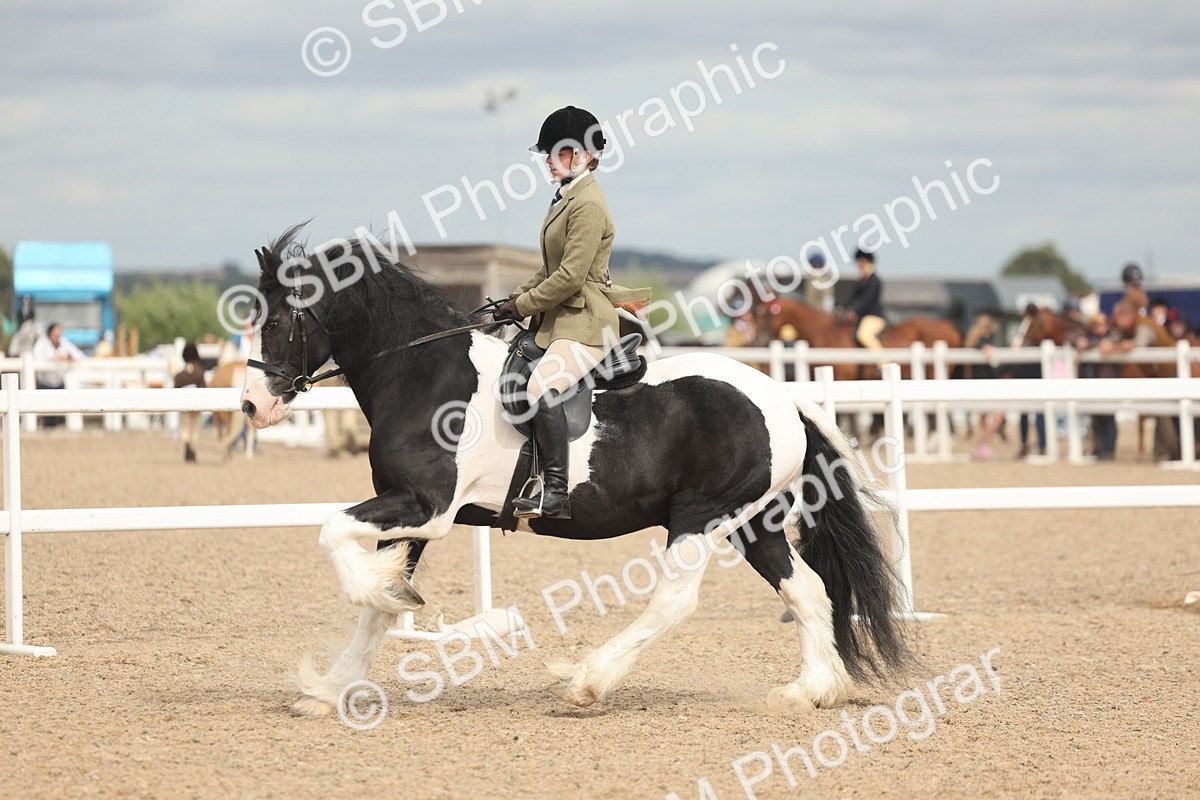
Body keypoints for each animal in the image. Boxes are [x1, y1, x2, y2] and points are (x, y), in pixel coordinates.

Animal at [240, 225, 914, 716]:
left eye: (276, 321)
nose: (251, 406)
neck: (424, 373)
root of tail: (782, 397)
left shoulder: (425, 506)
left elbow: (334, 534)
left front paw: (379, 603)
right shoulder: (407, 509)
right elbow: (376, 606)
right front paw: (333, 687)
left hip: (702, 517)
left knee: (675, 602)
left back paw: (587, 679)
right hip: (756, 523)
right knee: (808, 591)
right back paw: (811, 691)